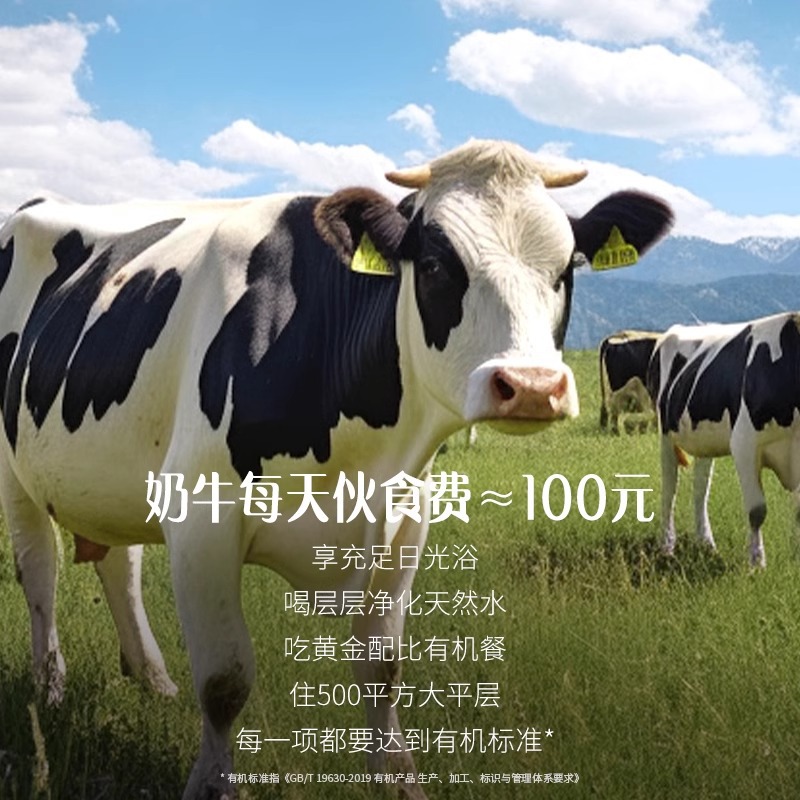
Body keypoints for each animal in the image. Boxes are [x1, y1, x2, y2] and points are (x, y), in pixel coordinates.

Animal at [0, 139, 672, 799]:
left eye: (567, 269)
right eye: (435, 266)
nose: (532, 386)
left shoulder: (406, 523)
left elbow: (382, 668)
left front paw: (399, 781)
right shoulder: (201, 517)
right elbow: (224, 681)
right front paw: (213, 784)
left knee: (120, 563)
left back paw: (153, 679)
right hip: (13, 469)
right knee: (40, 571)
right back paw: (51, 687)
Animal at [648, 312, 800, 568]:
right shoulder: (744, 444)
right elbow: (757, 510)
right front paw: (757, 562)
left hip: (703, 439)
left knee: (700, 489)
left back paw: (706, 543)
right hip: (666, 434)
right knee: (670, 488)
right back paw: (667, 545)